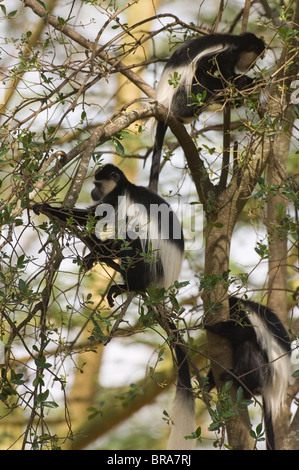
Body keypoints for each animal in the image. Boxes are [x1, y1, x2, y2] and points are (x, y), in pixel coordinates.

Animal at [32, 163, 197, 450]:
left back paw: (116, 271)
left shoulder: (114, 200)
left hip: (150, 264)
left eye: (98, 183)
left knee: (134, 240)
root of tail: (163, 285)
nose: (92, 191)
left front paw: (43, 206)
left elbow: (92, 216)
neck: (124, 187)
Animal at [150, 32, 268, 192]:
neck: (236, 44)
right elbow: (215, 71)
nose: (252, 66)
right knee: (200, 78)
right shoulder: (223, 55)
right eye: (255, 58)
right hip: (183, 93)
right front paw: (246, 83)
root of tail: (164, 103)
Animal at [206, 296, 290, 450]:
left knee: (247, 345)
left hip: (264, 371)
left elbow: (241, 331)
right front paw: (206, 384)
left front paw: (212, 326)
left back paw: (238, 378)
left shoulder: (244, 316)